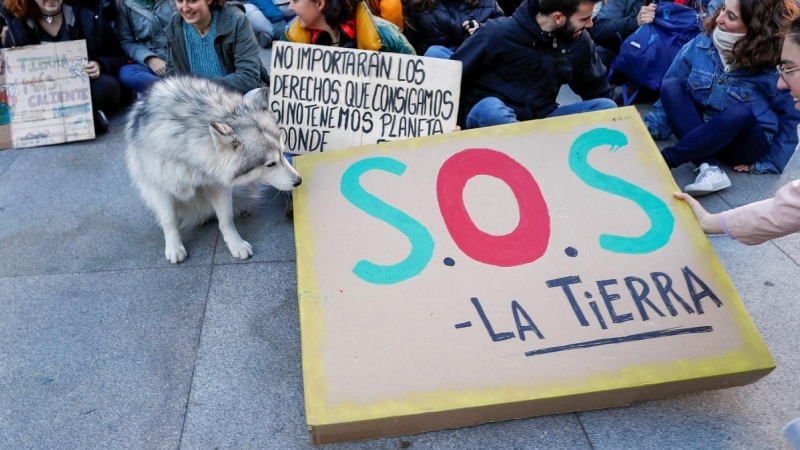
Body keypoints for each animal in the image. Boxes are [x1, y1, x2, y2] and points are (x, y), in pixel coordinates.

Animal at [123, 77, 302, 264]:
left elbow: (226, 218)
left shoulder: (218, 184)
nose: (299, 181)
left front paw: (236, 244)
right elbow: (169, 220)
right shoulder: (158, 188)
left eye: (282, 153)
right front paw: (174, 247)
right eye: (270, 164)